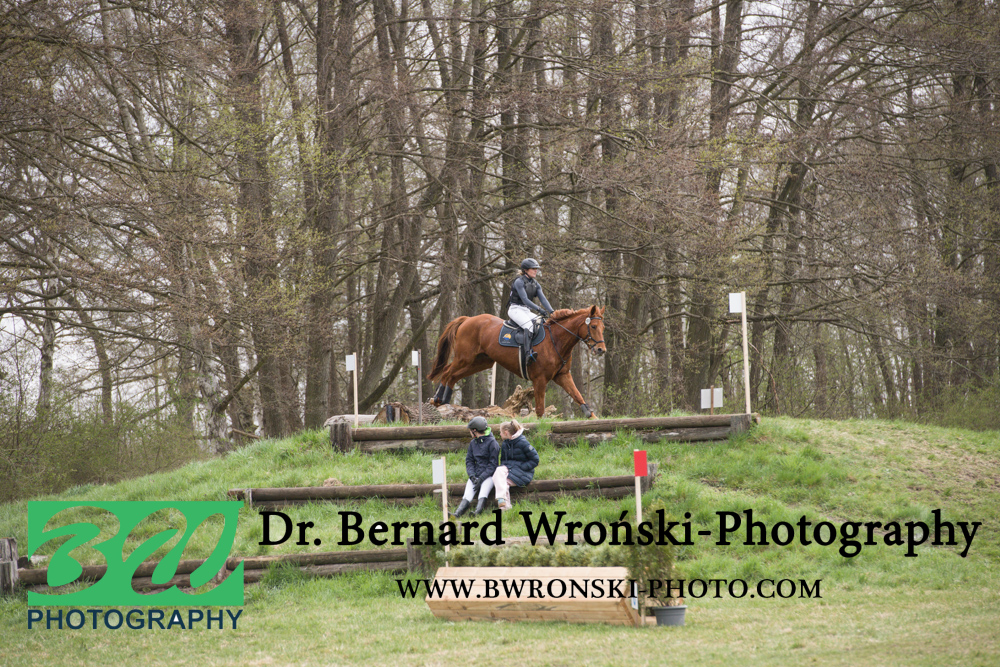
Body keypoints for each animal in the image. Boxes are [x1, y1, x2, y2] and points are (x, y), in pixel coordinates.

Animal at [426, 306, 606, 419]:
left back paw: (443, 401)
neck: (556, 340)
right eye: (593, 326)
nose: (601, 350)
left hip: (480, 362)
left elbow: (578, 396)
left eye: (603, 327)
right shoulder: (539, 379)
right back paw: (437, 399)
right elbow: (540, 410)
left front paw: (592, 417)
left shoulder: (563, 375)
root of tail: (468, 319)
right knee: (447, 372)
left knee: (453, 376)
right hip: (464, 358)